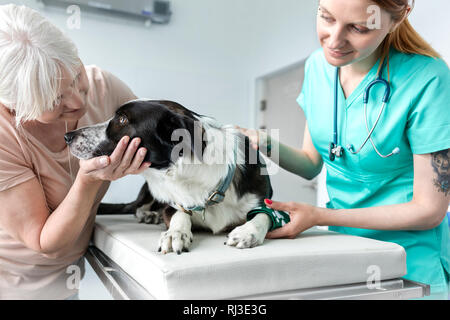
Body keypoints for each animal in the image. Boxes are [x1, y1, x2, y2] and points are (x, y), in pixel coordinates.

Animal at [65, 99, 272, 254]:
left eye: (122, 120)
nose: (68, 136)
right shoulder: (175, 202)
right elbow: (179, 213)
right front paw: (176, 233)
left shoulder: (263, 199)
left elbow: (264, 214)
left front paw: (248, 231)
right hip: (150, 189)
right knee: (137, 207)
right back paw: (149, 214)